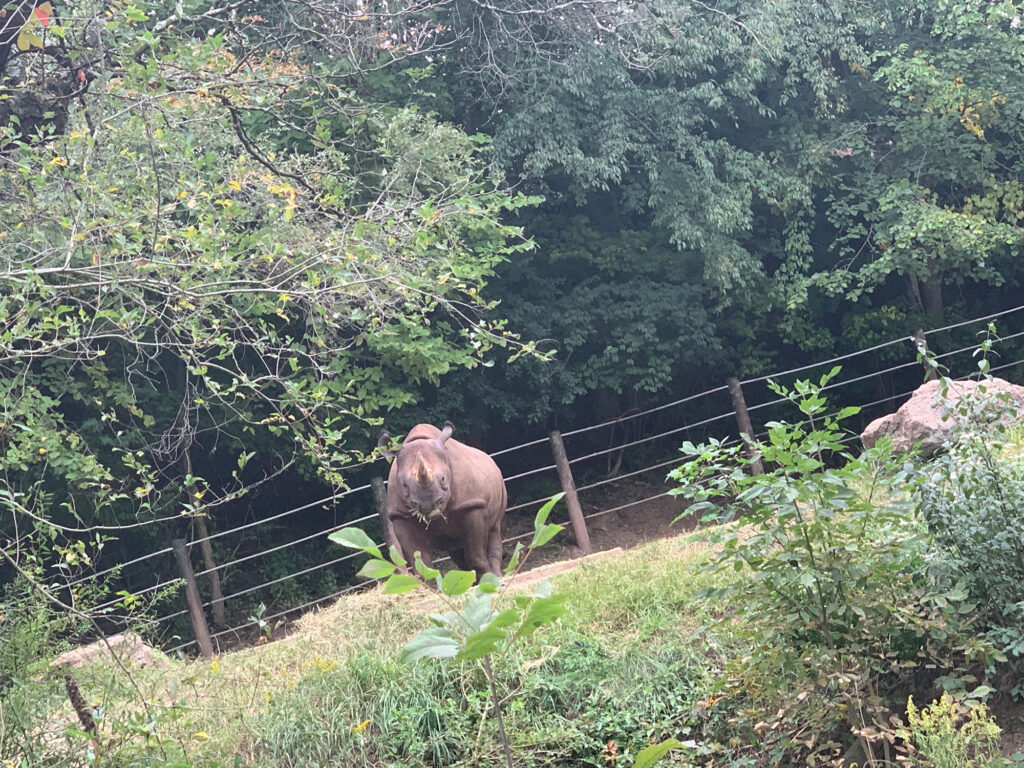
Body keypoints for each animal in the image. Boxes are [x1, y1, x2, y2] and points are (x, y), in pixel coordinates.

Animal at [378, 423, 505, 581]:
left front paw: (490, 579)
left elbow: (475, 554)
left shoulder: (473, 505)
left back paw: (498, 575)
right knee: (456, 547)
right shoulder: (401, 516)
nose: (427, 505)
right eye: (405, 485)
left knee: (494, 528)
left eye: (443, 479)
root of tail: (488, 457)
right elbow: (420, 562)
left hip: (499, 482)